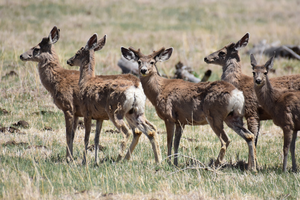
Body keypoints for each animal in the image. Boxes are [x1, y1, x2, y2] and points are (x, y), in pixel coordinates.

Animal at [19, 25, 81, 160]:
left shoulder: (68, 106)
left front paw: (68, 158)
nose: (21, 55)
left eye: (36, 48)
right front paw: (70, 157)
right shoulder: (76, 112)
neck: (58, 79)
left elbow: (68, 134)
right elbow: (72, 134)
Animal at [67, 33, 162, 164]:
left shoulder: (87, 112)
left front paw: (84, 162)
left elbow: (86, 138)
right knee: (149, 130)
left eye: (77, 53)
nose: (69, 61)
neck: (85, 81)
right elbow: (96, 138)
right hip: (136, 111)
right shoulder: (99, 117)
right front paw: (96, 161)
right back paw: (158, 160)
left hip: (115, 110)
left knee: (127, 132)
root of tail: (135, 87)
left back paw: (119, 158)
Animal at [120, 47, 256, 170]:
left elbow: (169, 141)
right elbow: (176, 143)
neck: (159, 90)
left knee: (225, 140)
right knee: (249, 136)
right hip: (233, 117)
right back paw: (252, 167)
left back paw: (215, 165)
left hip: (215, 116)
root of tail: (236, 93)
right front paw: (175, 163)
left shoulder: (168, 117)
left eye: (152, 62)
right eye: (139, 61)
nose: (143, 70)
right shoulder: (181, 121)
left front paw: (168, 162)